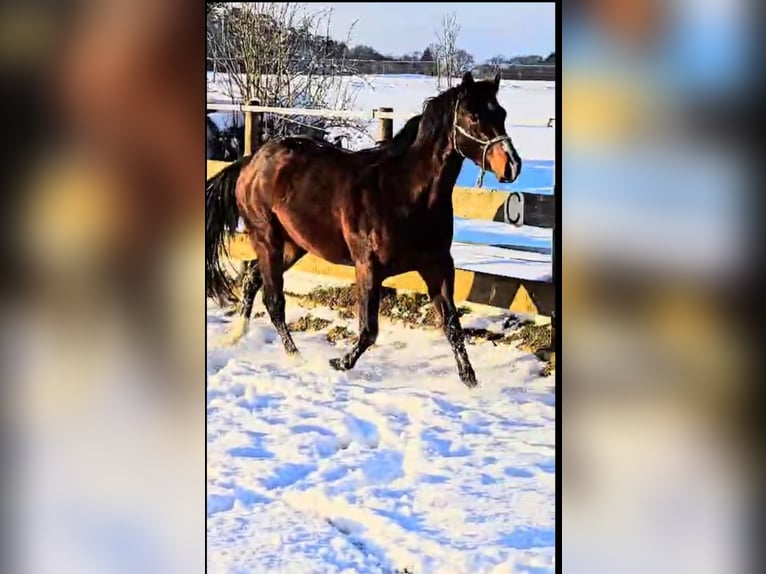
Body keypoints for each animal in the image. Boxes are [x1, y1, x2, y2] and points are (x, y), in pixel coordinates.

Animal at [207, 72, 520, 388]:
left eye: (502, 113)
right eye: (473, 115)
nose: (512, 166)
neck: (405, 192)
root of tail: (251, 162)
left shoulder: (438, 265)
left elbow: (452, 325)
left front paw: (470, 382)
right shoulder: (368, 267)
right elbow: (369, 329)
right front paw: (339, 362)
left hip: (294, 244)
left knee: (251, 279)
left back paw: (235, 336)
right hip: (267, 238)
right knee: (273, 300)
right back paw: (296, 357)